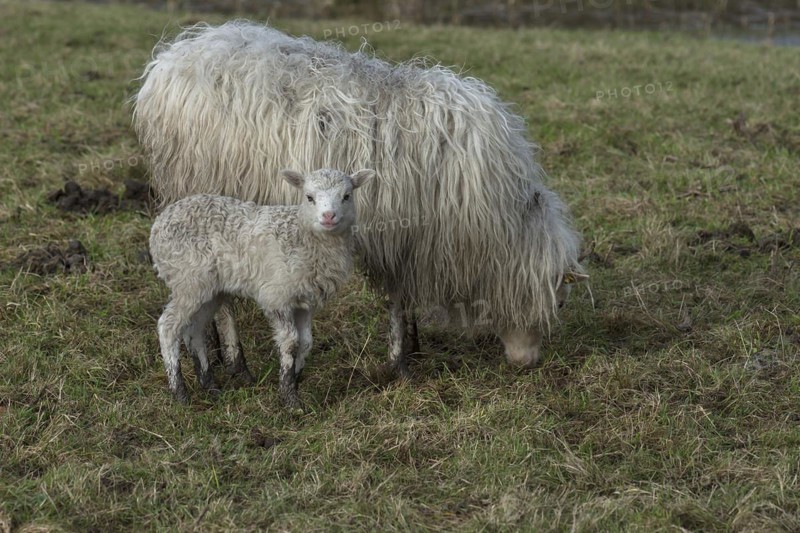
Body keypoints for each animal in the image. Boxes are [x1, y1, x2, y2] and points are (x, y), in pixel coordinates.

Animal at [134, 21, 588, 379]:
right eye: (561, 302)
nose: (527, 363)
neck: (495, 227)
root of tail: (173, 57)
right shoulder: (403, 237)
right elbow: (398, 300)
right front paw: (402, 361)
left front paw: (415, 347)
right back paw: (236, 360)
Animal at [149, 168, 375, 409]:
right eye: (309, 197)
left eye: (347, 196)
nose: (328, 216)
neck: (302, 237)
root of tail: (158, 224)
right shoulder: (276, 296)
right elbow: (291, 341)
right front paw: (289, 396)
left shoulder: (305, 301)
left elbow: (306, 343)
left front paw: (295, 380)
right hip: (188, 279)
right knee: (168, 326)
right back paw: (179, 393)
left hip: (210, 289)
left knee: (194, 331)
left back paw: (210, 386)